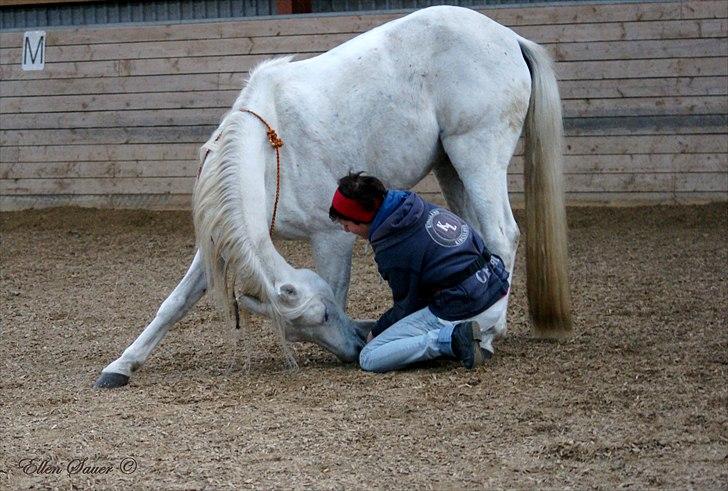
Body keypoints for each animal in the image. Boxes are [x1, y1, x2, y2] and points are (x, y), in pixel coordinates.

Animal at [92, 3, 568, 388]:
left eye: (320, 318)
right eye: (303, 326)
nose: (353, 348)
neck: (269, 146)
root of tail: (508, 37)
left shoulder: (332, 237)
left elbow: (338, 290)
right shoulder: (220, 242)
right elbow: (175, 302)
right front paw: (122, 366)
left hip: (476, 154)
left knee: (503, 233)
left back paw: (486, 333)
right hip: (450, 165)